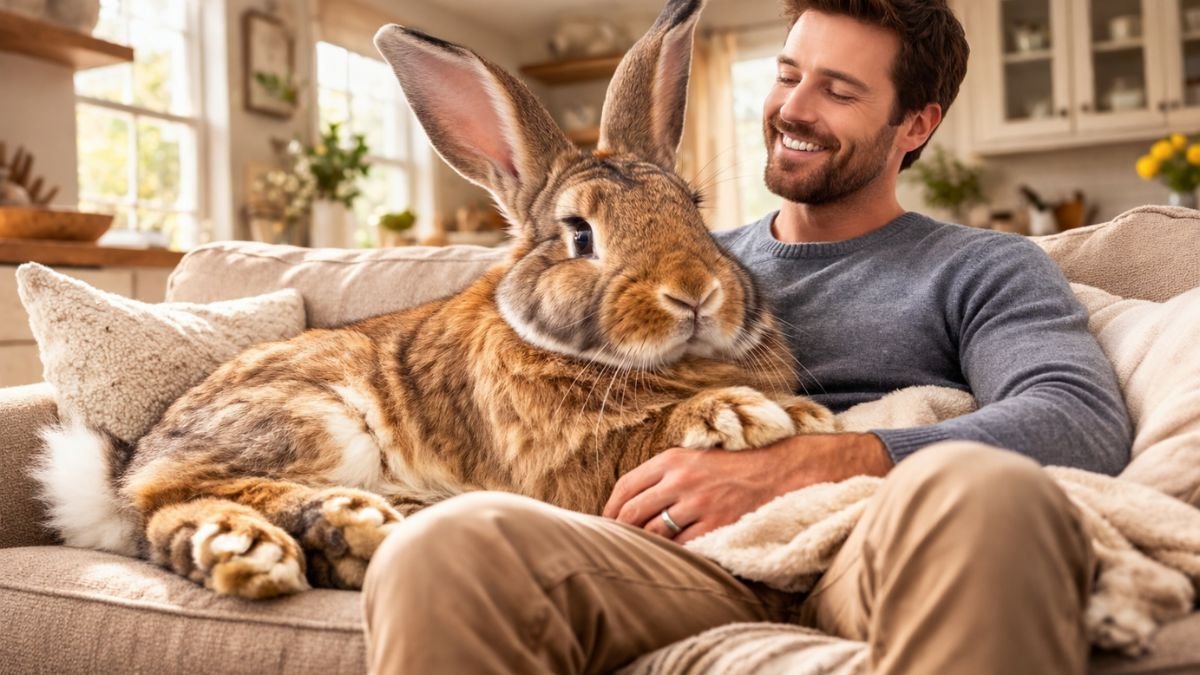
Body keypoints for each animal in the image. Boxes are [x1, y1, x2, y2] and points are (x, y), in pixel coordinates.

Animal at [45, 0, 836, 600]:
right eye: (579, 234)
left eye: (693, 208)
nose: (696, 293)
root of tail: (122, 466)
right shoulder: (564, 467)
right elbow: (645, 436)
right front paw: (742, 413)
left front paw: (798, 413)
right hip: (312, 418)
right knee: (168, 498)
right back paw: (267, 541)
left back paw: (341, 539)